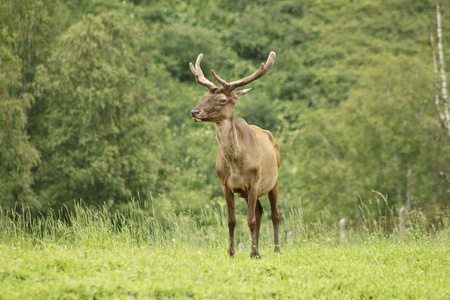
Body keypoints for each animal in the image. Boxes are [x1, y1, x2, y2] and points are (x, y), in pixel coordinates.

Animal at [188, 51, 280, 258]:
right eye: (204, 96)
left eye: (222, 100)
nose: (194, 111)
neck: (236, 163)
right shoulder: (225, 185)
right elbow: (232, 220)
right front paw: (232, 252)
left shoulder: (254, 182)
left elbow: (250, 219)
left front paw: (255, 254)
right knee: (259, 211)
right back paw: (258, 246)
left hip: (274, 180)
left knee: (275, 213)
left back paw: (277, 249)